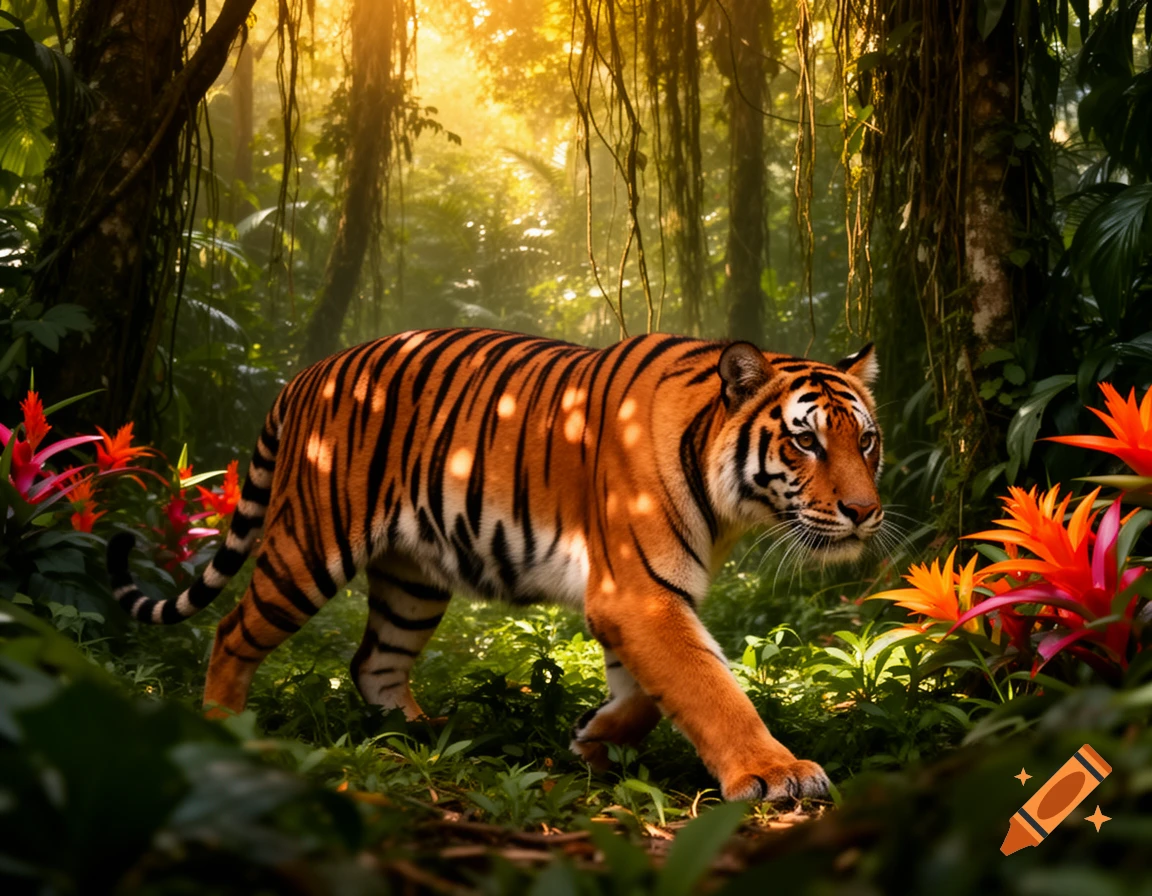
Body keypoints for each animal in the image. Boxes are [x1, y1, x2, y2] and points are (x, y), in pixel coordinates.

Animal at [108, 328, 883, 802]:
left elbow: (651, 692)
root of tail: (306, 375)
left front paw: (594, 741)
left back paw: (425, 736)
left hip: (412, 579)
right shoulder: (640, 594)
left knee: (374, 662)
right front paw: (776, 773)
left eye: (867, 441)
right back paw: (222, 728)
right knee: (232, 631)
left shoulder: (639, 597)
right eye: (806, 442)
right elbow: (710, 687)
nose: (866, 512)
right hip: (307, 547)